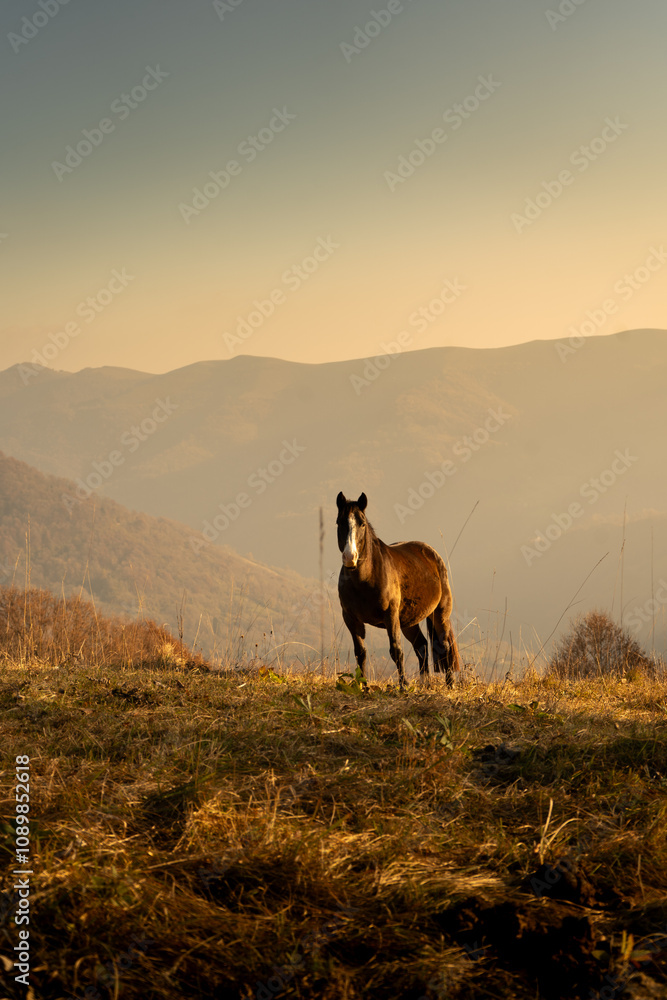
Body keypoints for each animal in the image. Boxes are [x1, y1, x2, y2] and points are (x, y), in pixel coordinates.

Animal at [336, 491, 461, 690]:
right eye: (339, 522)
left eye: (362, 523)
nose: (350, 557)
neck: (364, 580)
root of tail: (431, 553)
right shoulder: (350, 618)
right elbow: (360, 652)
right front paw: (363, 686)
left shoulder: (391, 615)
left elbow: (396, 650)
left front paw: (403, 686)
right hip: (409, 621)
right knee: (422, 646)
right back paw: (425, 683)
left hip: (439, 614)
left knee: (444, 646)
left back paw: (449, 685)